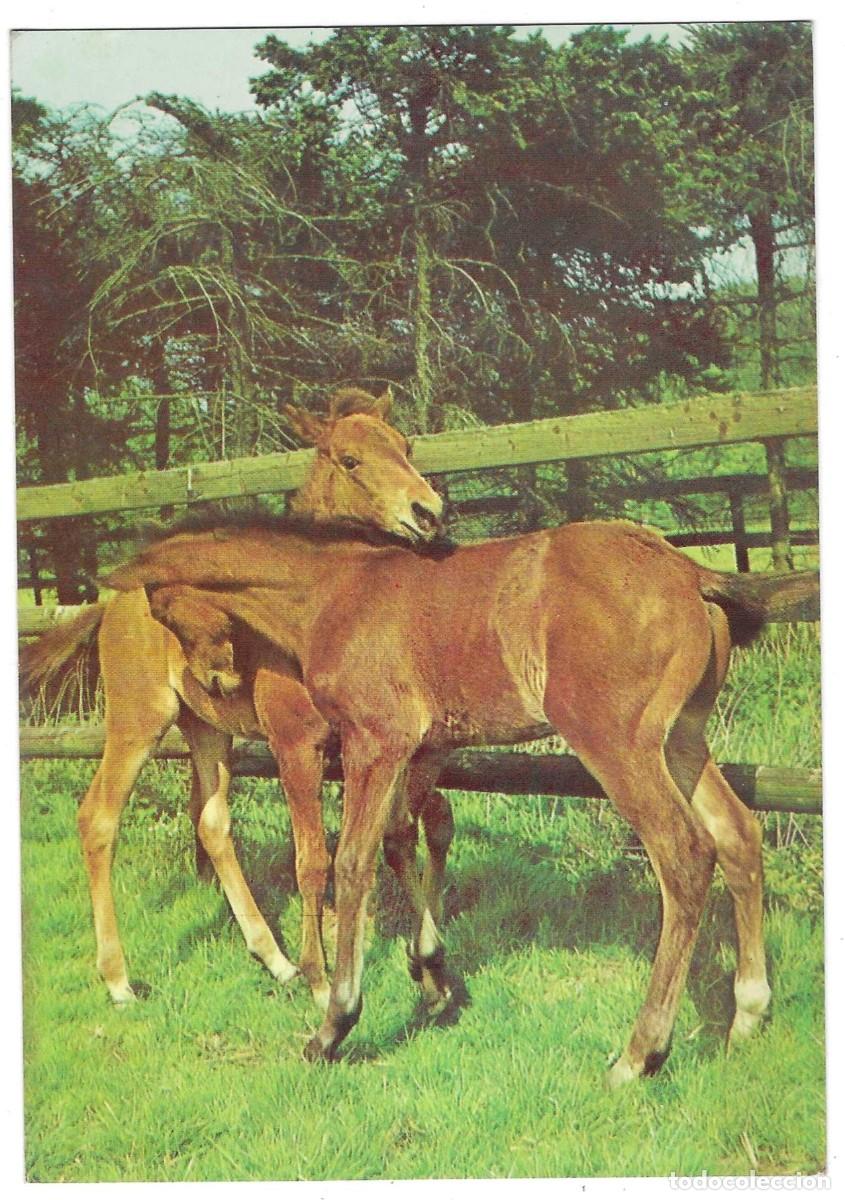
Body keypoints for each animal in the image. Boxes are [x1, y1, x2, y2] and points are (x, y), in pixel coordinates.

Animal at [20, 387, 446, 1013]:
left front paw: (412, 965)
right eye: (350, 460)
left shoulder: (373, 743)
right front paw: (324, 983)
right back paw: (120, 980)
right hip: (139, 720)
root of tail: (112, 601)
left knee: (212, 824)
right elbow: (313, 860)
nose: (429, 512)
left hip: (207, 728)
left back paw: (274, 958)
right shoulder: (296, 745)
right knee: (98, 817)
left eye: (406, 446)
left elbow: (408, 833)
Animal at [102, 515, 816, 1083]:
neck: (333, 593)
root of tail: (688, 571)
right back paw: (748, 1013)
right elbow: (402, 840)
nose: (214, 681)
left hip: (616, 741)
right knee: (738, 835)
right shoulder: (417, 749)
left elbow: (352, 862)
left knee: (685, 854)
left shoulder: (374, 740)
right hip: (683, 739)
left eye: (162, 610)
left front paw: (334, 1024)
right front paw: (432, 974)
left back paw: (639, 1055)